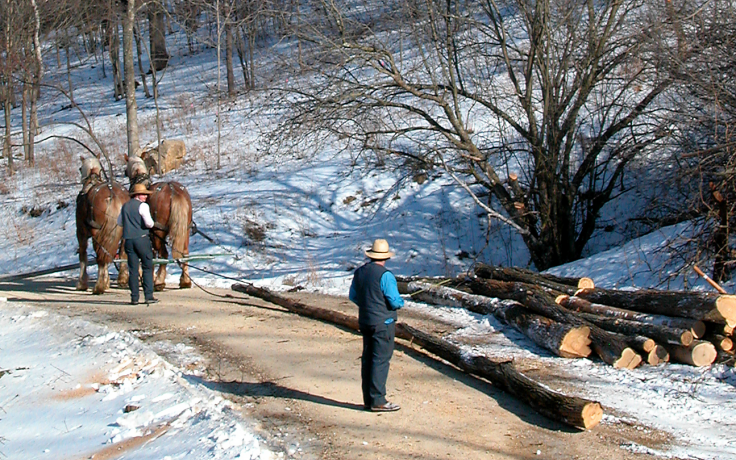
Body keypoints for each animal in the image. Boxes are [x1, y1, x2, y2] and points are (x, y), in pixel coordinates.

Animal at [77, 158, 131, 292]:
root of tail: (113, 195)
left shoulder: (80, 233)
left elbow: (83, 255)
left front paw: (81, 283)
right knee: (121, 253)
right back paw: (122, 280)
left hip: (97, 232)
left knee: (101, 255)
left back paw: (99, 286)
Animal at [126, 156, 193, 290]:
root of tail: (173, 191)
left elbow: (150, 255)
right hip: (185, 230)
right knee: (185, 253)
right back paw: (185, 280)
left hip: (159, 232)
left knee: (163, 254)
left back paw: (159, 281)